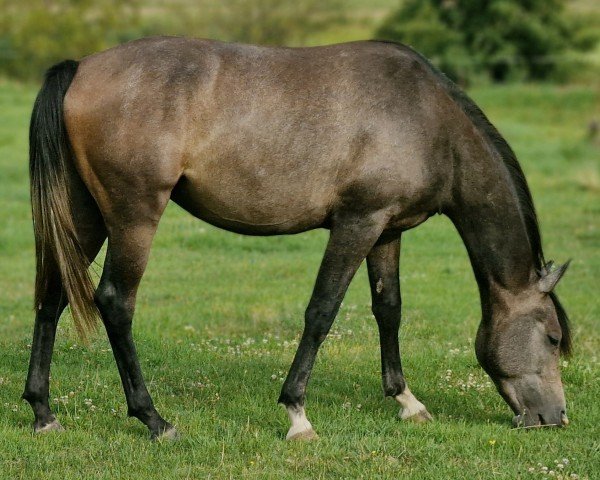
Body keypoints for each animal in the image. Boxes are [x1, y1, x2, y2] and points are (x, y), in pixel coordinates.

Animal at [24, 39, 572, 440]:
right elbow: (322, 312)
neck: (426, 119)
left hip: (84, 216)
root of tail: (80, 68)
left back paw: (43, 412)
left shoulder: (386, 230)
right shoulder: (357, 223)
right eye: (552, 337)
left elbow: (388, 309)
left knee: (52, 296)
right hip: (134, 216)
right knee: (115, 302)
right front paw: (297, 414)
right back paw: (154, 420)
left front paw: (406, 400)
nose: (555, 418)